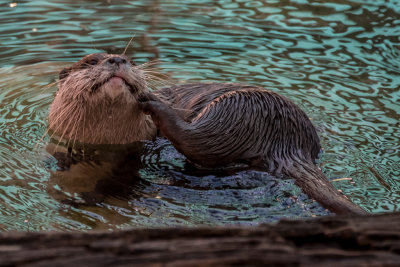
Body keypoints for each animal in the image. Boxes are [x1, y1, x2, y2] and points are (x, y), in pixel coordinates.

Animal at [48, 52, 368, 216]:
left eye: (131, 60)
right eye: (91, 62)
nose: (117, 60)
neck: (107, 140)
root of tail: (291, 140)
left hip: (234, 109)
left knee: (197, 140)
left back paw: (153, 101)